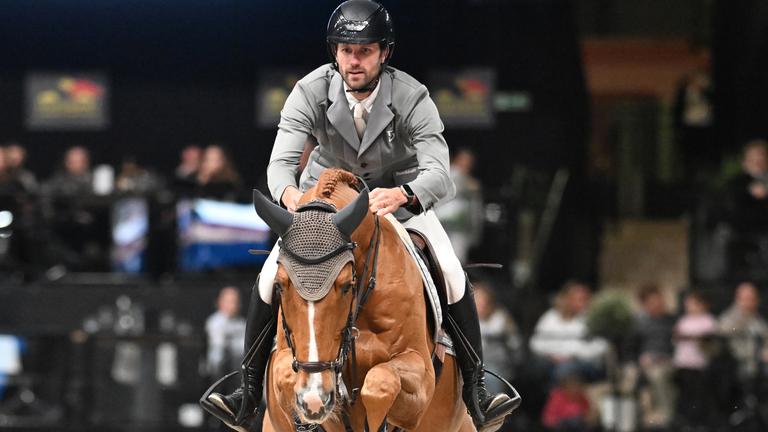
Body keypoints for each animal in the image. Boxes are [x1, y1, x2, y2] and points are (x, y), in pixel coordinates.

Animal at [255, 168, 475, 432]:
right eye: (279, 286)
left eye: (346, 286)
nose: (314, 397)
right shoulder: (287, 358)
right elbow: (288, 378)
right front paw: (316, 406)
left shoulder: (421, 374)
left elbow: (380, 383)